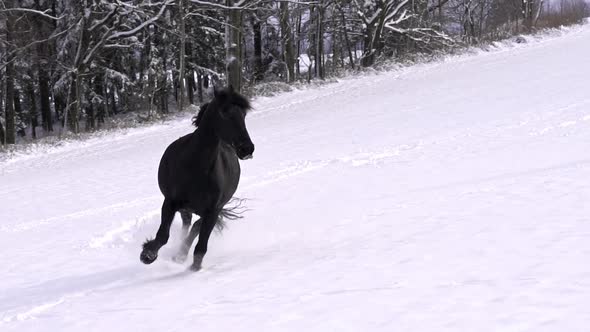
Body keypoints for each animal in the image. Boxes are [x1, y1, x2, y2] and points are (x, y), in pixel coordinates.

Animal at [143, 87, 256, 272]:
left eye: (244, 114)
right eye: (224, 112)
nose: (247, 149)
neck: (197, 168)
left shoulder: (213, 210)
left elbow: (201, 245)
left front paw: (194, 268)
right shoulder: (170, 202)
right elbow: (163, 235)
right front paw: (147, 255)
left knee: (195, 227)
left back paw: (181, 255)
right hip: (185, 207)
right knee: (187, 223)